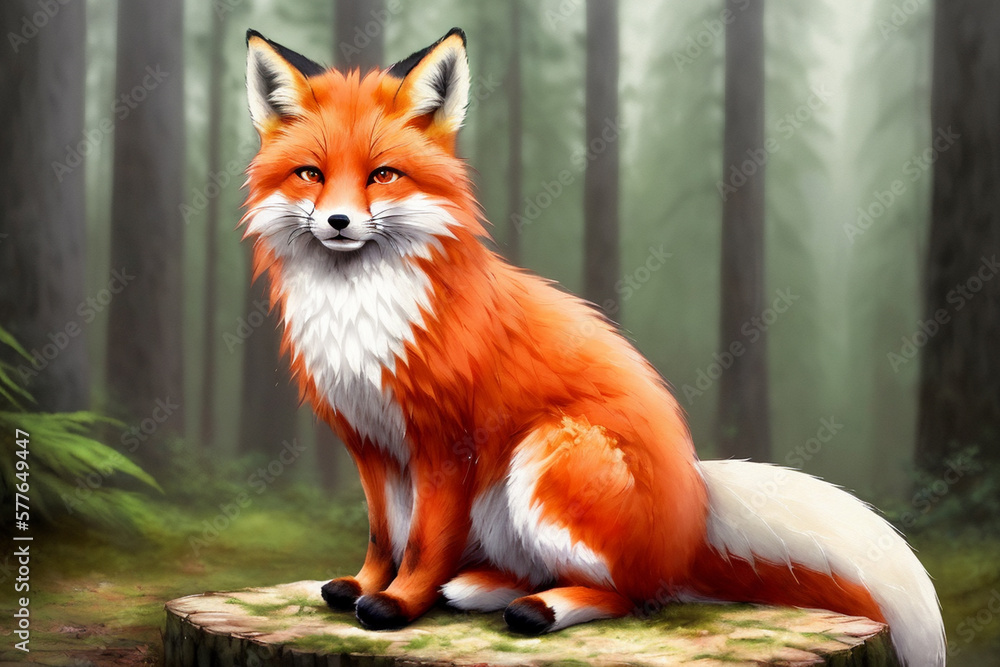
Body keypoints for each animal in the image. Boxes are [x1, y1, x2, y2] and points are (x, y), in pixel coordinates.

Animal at [241, 28, 945, 666]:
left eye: (382, 175)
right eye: (311, 174)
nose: (338, 222)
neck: (360, 315)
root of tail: (692, 516)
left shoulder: (444, 444)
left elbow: (420, 544)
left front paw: (395, 603)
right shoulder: (370, 441)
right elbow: (383, 536)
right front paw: (363, 586)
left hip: (547, 454)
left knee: (632, 595)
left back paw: (534, 609)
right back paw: (483, 590)